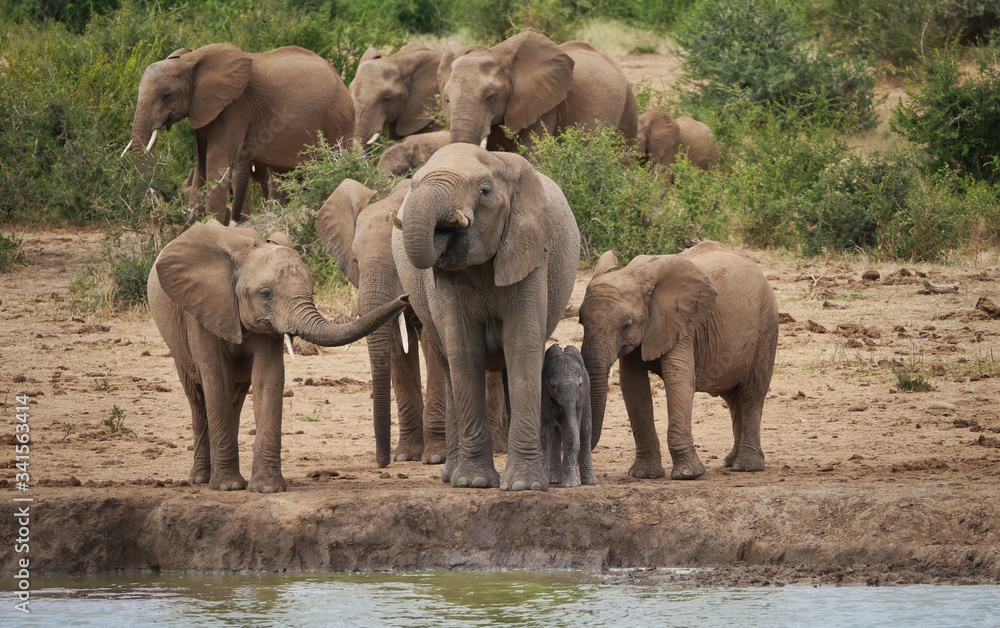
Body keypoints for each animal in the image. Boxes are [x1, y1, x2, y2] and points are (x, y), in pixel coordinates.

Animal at [126, 44, 354, 225]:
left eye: (166, 95)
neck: (189, 60)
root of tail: (340, 79)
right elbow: (201, 165)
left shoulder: (234, 109)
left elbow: (216, 164)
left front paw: (212, 225)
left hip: (338, 118)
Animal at [147, 220, 407, 492]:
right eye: (266, 294)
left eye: (313, 291)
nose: (404, 297)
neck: (243, 254)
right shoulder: (202, 310)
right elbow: (217, 378)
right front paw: (228, 487)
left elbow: (268, 377)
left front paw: (267, 488)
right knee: (197, 397)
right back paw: (201, 479)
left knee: (236, 395)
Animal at [391, 143, 580, 491]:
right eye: (413, 185)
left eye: (484, 191)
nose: (442, 236)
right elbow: (465, 353)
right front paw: (474, 482)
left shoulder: (530, 254)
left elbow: (522, 348)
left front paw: (523, 486)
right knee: (449, 369)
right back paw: (451, 476)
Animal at [541, 343, 596, 488]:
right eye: (552, 386)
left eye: (580, 384)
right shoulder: (544, 395)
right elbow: (545, 432)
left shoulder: (580, 398)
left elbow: (569, 430)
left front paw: (571, 484)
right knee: (555, 436)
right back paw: (554, 480)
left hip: (587, 399)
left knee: (585, 431)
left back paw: (590, 481)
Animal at [578, 241, 779, 481]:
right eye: (580, 321)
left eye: (627, 324)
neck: (633, 273)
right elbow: (632, 385)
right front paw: (644, 474)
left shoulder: (682, 323)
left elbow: (679, 378)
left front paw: (687, 474)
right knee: (733, 398)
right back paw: (730, 462)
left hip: (766, 326)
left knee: (752, 392)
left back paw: (747, 466)